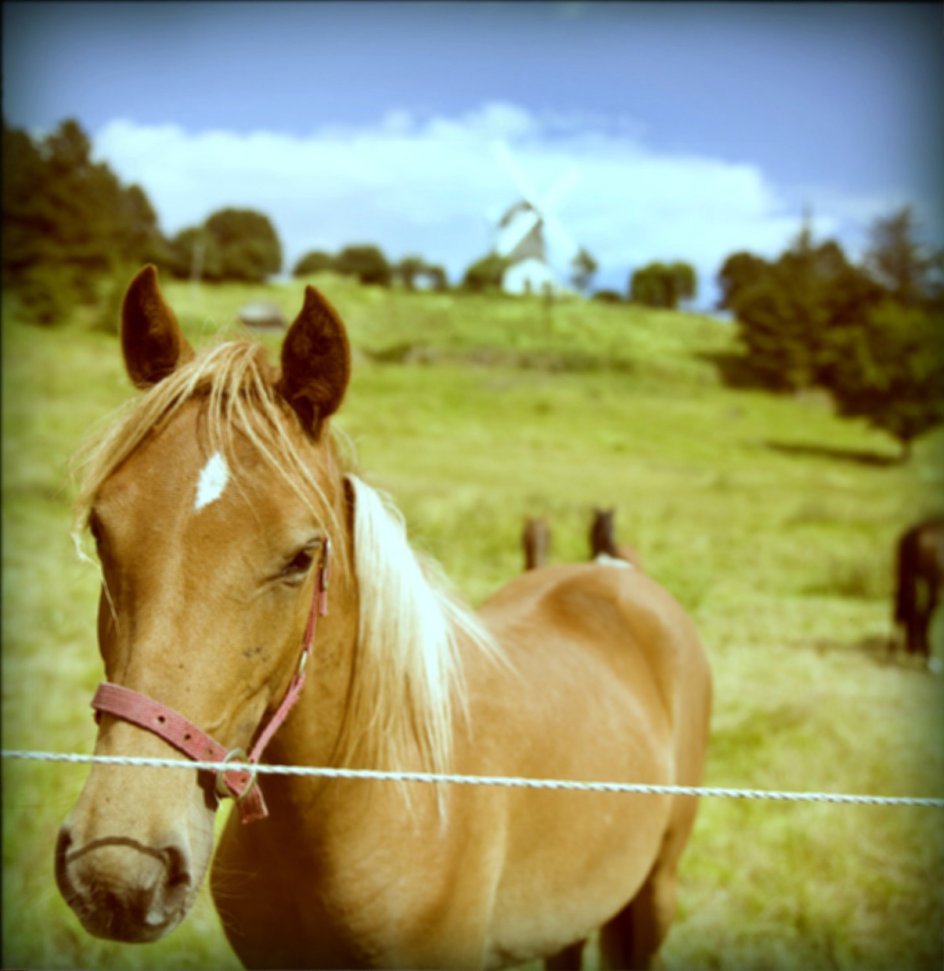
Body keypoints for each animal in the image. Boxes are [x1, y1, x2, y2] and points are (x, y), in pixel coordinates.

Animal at [55, 266, 712, 971]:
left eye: (302, 556)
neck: (367, 792)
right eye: (101, 531)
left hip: (654, 897)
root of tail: (611, 569)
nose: (115, 871)